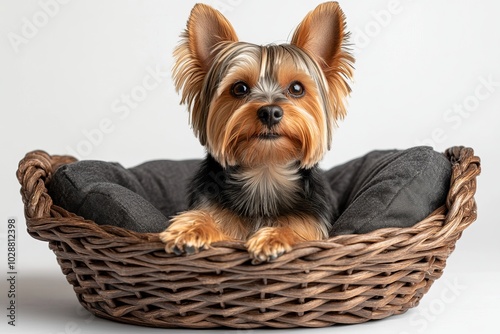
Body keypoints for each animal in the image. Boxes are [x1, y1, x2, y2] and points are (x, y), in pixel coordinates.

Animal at [159, 1, 352, 264]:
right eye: (239, 88)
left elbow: (299, 233)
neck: (264, 172)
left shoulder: (312, 226)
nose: (270, 112)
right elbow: (209, 219)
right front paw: (190, 229)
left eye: (297, 88)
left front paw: (273, 237)